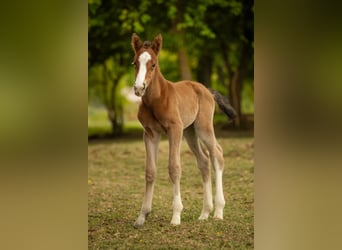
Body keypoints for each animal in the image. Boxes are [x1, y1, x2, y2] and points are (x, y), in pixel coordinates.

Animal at [131, 33, 235, 229]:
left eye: (153, 64)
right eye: (134, 63)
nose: (139, 88)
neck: (156, 99)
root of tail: (206, 89)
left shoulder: (175, 129)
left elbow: (174, 167)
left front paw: (176, 216)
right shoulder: (150, 134)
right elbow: (150, 171)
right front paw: (142, 216)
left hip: (202, 127)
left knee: (217, 154)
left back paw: (218, 212)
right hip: (190, 132)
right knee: (203, 160)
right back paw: (204, 213)